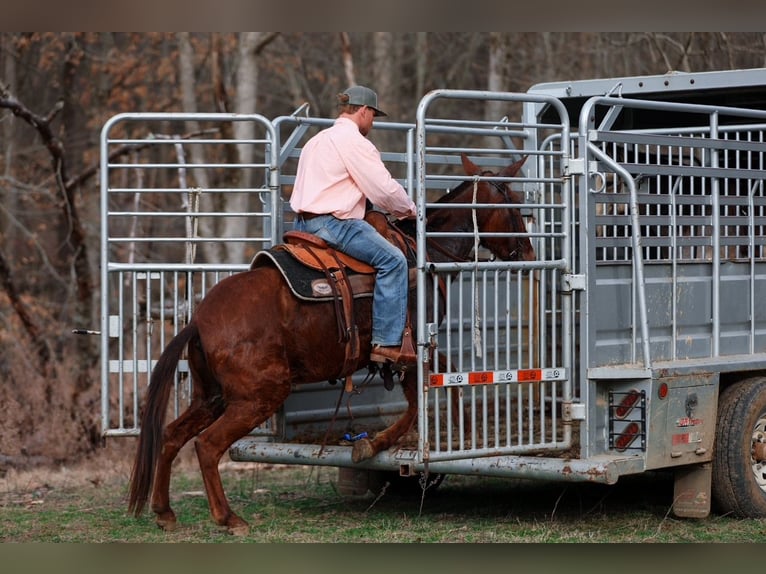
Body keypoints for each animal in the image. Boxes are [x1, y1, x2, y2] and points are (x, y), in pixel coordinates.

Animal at [127, 153, 535, 535]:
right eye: (514, 205)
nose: (530, 254)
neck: (424, 253)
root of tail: (197, 321)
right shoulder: (412, 353)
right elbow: (418, 403)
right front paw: (374, 445)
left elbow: (443, 384)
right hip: (258, 396)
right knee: (207, 446)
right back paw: (228, 517)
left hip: (210, 395)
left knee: (170, 435)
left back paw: (164, 511)